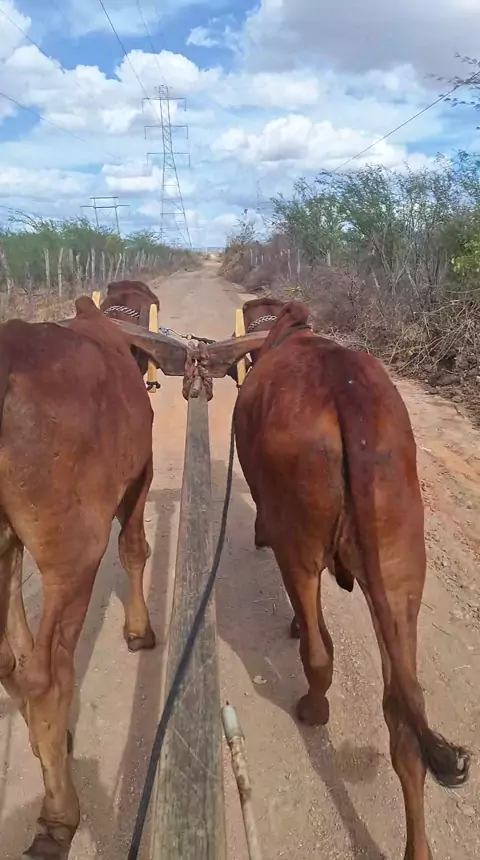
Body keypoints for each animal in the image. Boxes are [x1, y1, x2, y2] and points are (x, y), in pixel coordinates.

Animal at [232, 297, 470, 860]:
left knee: (320, 654)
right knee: (405, 710)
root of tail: (346, 391)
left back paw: (311, 707)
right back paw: (417, 848)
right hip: (400, 567)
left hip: (299, 545)